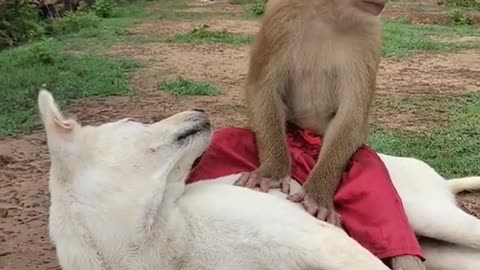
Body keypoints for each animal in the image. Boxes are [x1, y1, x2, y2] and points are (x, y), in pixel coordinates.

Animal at [234, 0, 426, 270]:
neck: (328, 13)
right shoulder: (279, 19)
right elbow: (262, 89)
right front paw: (271, 172)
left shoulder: (368, 35)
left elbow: (352, 115)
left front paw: (317, 196)